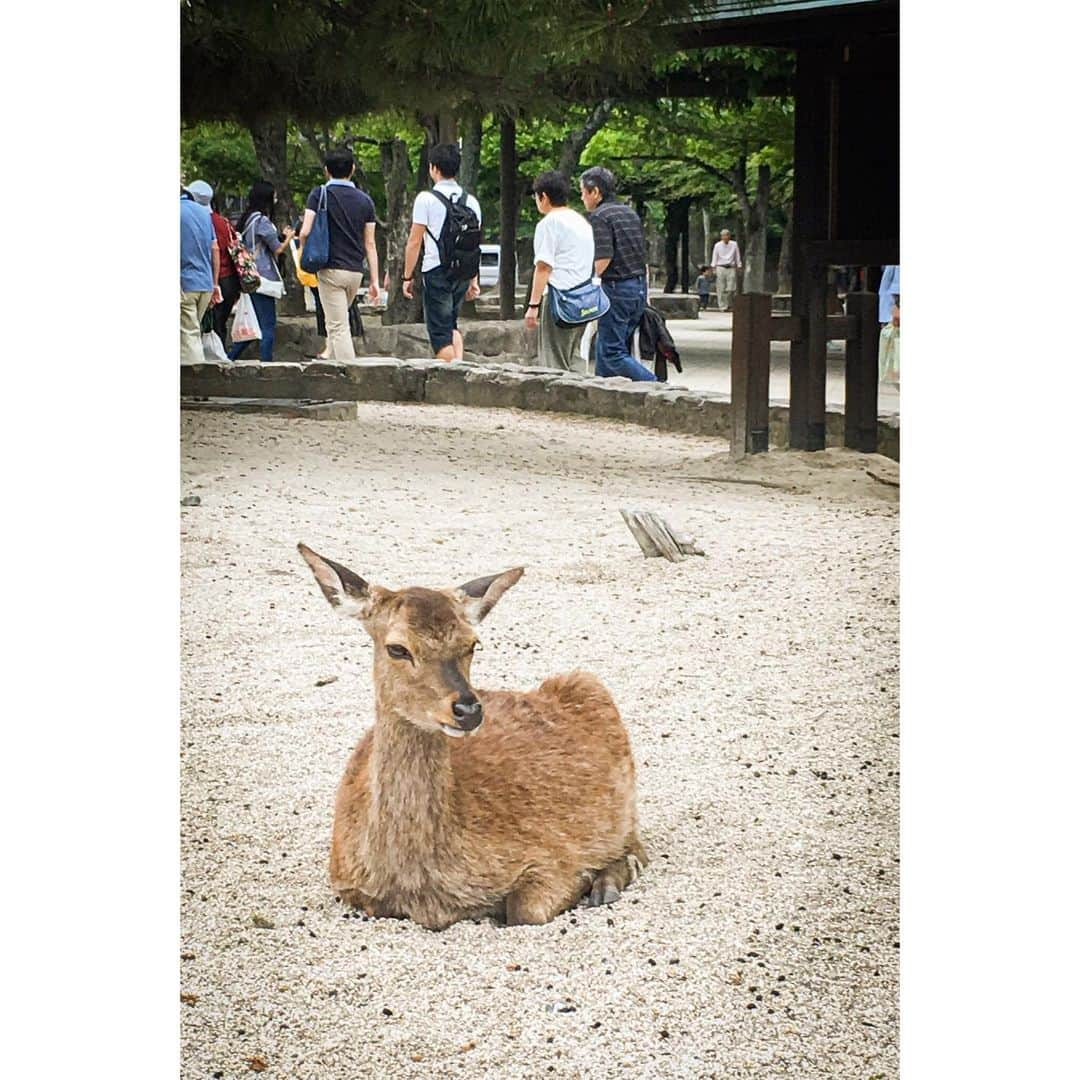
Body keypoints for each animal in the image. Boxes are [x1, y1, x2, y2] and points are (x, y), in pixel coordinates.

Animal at [298, 544, 648, 933]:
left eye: (473, 644)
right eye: (397, 648)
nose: (468, 709)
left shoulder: (552, 854)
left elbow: (526, 908)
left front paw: (587, 878)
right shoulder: (344, 877)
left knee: (639, 845)